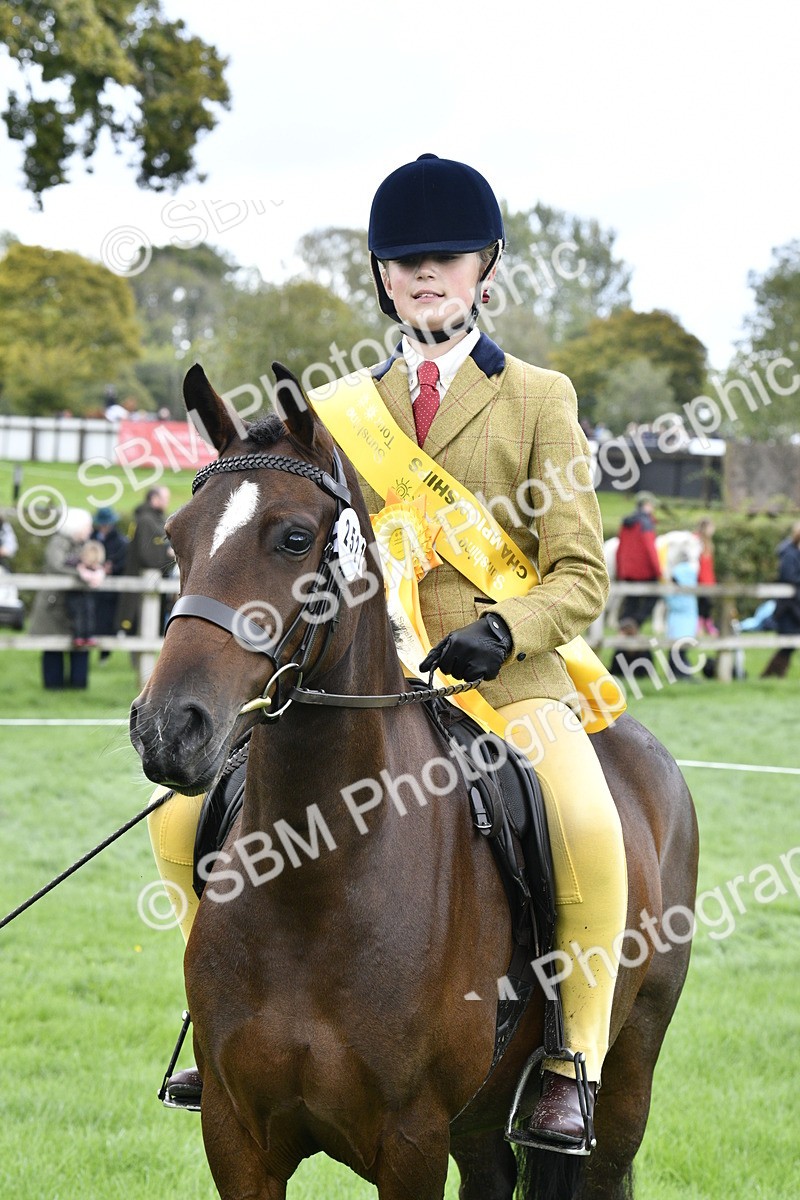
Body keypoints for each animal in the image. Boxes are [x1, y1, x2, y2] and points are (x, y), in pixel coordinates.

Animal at [130, 363, 699, 1200]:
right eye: (176, 538)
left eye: (293, 539)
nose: (168, 727)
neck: (318, 877)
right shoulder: (236, 1137)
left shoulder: (411, 1141)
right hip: (479, 1124)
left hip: (626, 1076)